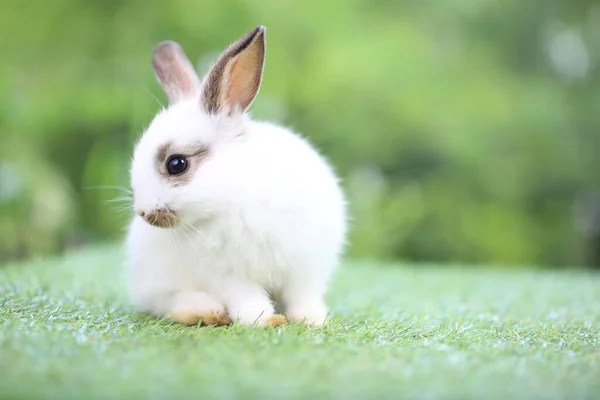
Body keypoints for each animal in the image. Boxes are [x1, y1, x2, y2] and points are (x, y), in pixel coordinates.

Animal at [126, 26, 350, 328]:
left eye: (176, 164)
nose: (142, 212)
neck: (234, 196)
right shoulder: (228, 276)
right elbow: (247, 297)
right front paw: (263, 320)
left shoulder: (304, 268)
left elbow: (302, 295)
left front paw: (311, 319)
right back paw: (206, 312)